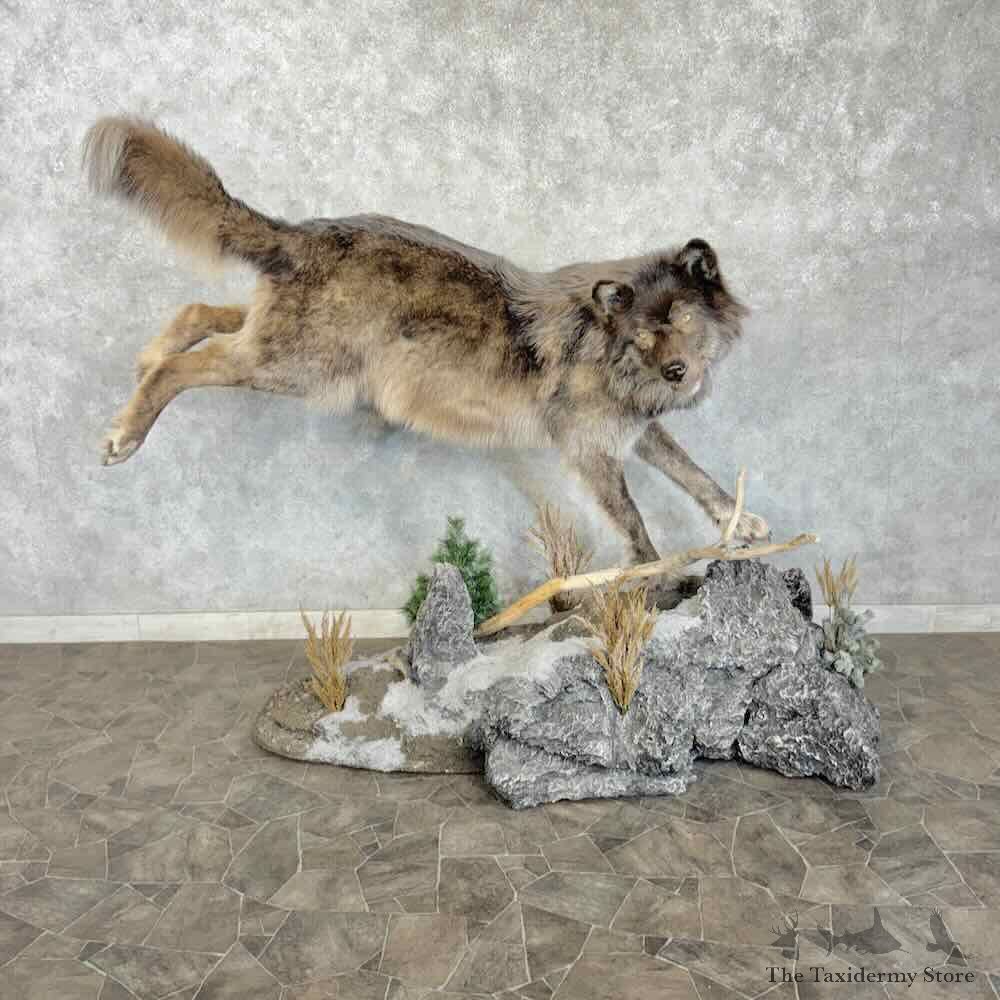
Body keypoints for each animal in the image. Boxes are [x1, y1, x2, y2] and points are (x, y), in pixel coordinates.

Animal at [83, 116, 769, 573]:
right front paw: (655, 577)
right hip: (294, 371)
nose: (678, 372)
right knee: (184, 366)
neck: (605, 351)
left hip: (279, 348)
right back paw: (126, 433)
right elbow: (632, 518)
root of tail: (299, 234)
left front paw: (741, 523)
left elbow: (694, 472)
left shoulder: (638, 429)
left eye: (682, 316)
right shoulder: (589, 452)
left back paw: (145, 360)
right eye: (645, 334)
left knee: (197, 312)